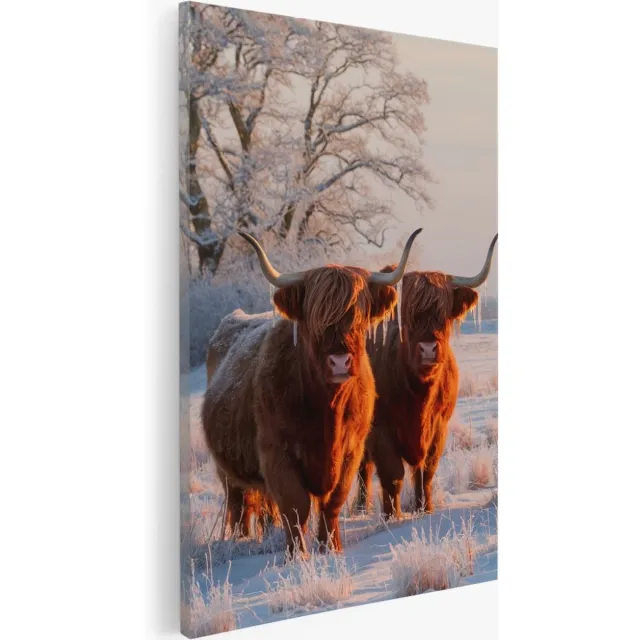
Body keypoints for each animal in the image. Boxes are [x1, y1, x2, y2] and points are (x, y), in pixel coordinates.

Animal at [201, 229, 422, 557]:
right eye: (315, 319)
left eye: (359, 316)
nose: (340, 361)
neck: (327, 412)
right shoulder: (277, 454)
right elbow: (296, 507)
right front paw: (297, 555)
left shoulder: (351, 451)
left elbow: (332, 502)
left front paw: (331, 546)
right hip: (226, 469)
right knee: (239, 504)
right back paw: (240, 541)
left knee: (262, 505)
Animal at [356, 234, 498, 519]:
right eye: (408, 315)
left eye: (443, 315)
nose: (429, 349)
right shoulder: (380, 430)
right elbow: (393, 475)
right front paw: (392, 517)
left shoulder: (439, 427)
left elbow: (426, 471)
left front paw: (426, 509)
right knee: (362, 468)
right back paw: (360, 508)